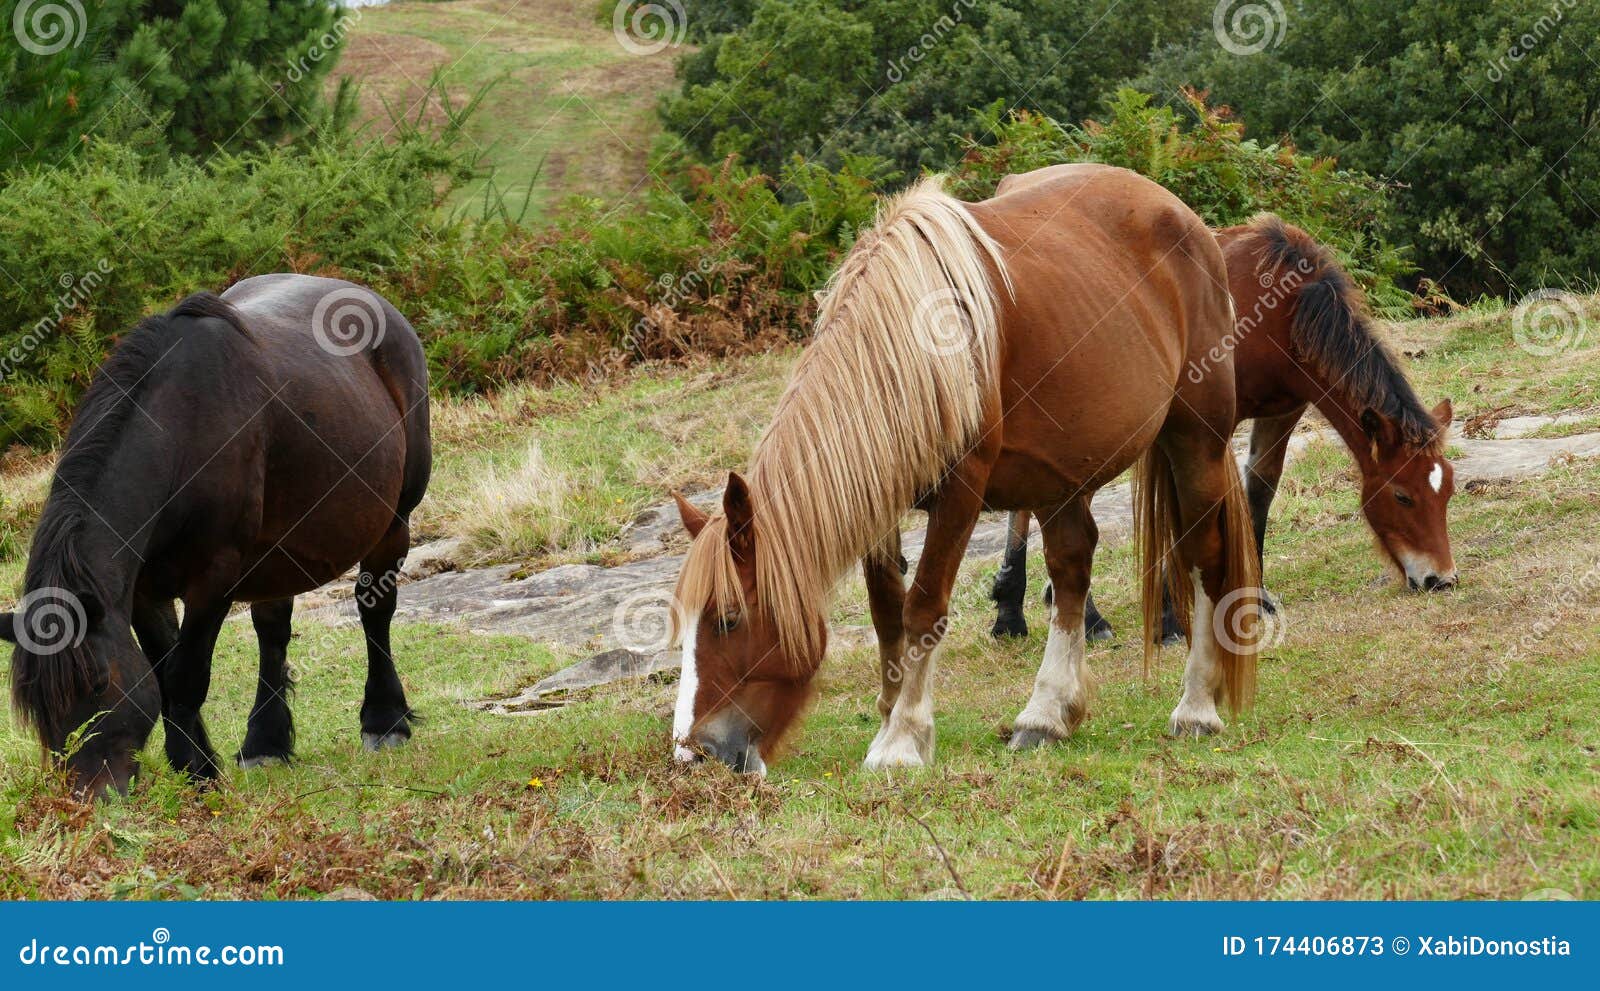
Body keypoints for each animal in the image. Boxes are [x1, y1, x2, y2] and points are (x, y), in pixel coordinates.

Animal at [1, 275, 431, 799]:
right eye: (35, 707)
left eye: (100, 682)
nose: (91, 796)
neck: (182, 431)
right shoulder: (144, 590)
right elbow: (163, 673)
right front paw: (198, 761)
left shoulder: (213, 579)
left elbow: (185, 676)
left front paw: (197, 771)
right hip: (278, 555)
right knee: (273, 630)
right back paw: (265, 743)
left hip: (394, 522)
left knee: (375, 612)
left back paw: (385, 722)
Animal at [669, 163, 1262, 773]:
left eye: (728, 618)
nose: (697, 752)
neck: (911, 346)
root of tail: (1186, 218)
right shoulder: (881, 495)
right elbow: (886, 611)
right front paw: (888, 716)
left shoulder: (961, 489)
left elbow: (923, 608)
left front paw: (903, 738)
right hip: (1061, 478)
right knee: (1071, 570)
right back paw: (1045, 716)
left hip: (1196, 442)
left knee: (1203, 558)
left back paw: (1196, 708)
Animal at [989, 215, 1457, 643]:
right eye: (1402, 495)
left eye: (1447, 491)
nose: (1441, 580)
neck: (1278, 311)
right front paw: (1171, 619)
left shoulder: (1282, 412)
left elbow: (1260, 492)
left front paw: (1254, 597)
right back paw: (1072, 617)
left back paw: (1020, 609)